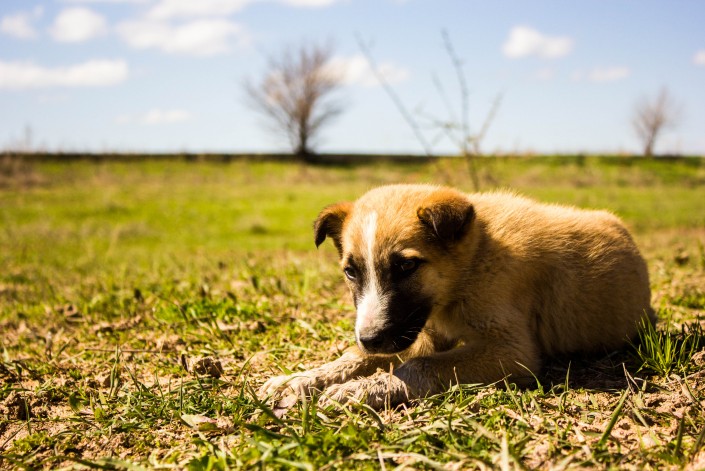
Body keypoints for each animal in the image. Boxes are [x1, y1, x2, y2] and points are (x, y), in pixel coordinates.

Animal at [260, 184, 655, 408]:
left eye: (406, 266)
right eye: (351, 271)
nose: (370, 338)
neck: (476, 257)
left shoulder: (511, 350)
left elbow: (418, 366)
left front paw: (361, 390)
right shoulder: (418, 332)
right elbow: (356, 358)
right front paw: (299, 379)